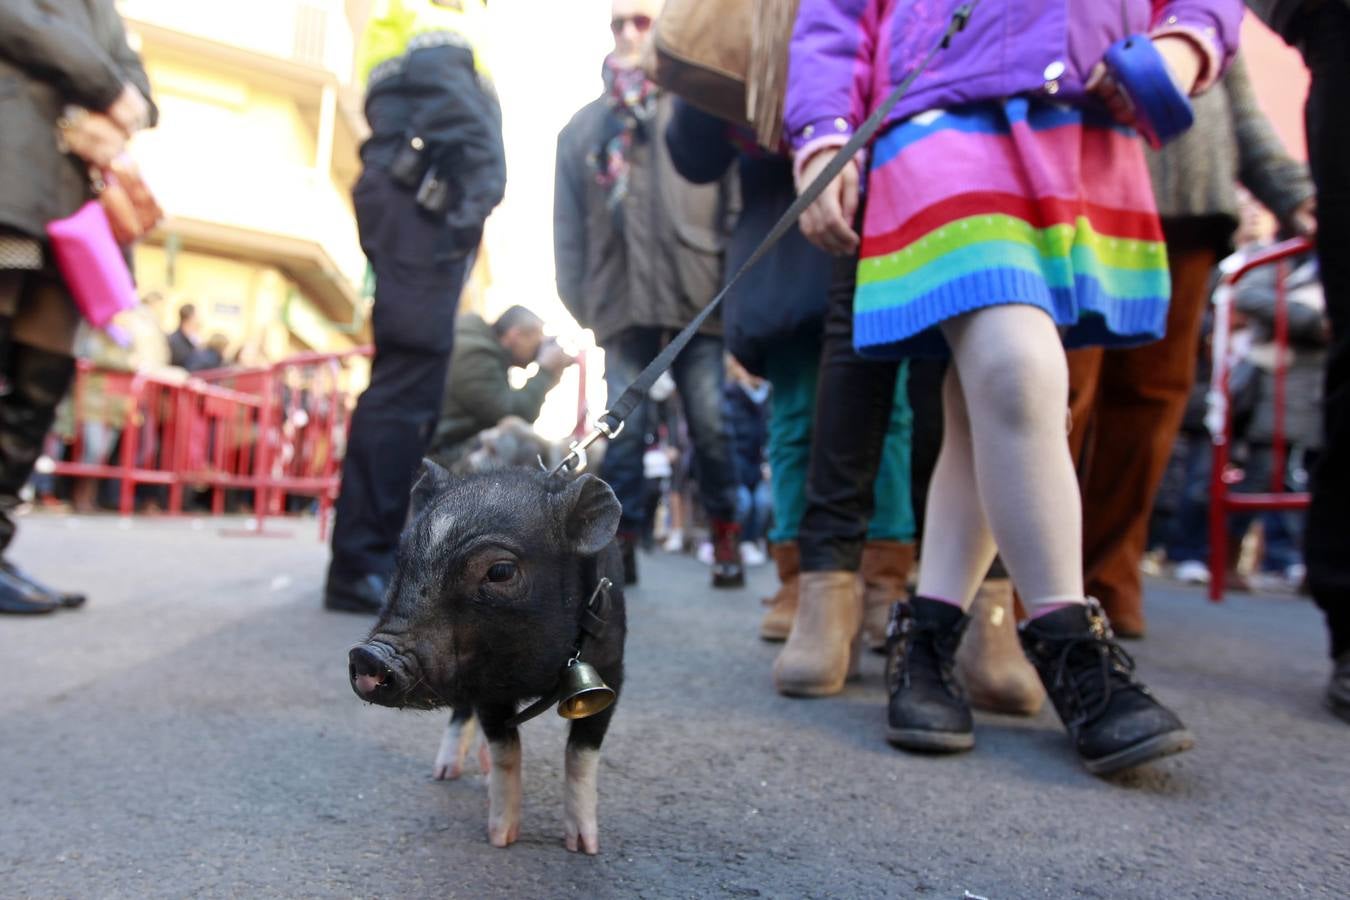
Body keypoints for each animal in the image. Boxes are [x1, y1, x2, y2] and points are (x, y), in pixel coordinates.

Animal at [345, 461, 623, 858]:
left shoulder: (611, 670)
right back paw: (446, 772)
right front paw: (501, 839)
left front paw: (584, 848)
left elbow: (582, 754)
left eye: (501, 571)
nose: (368, 655)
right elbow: (506, 750)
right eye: (402, 561)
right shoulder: (487, 686)